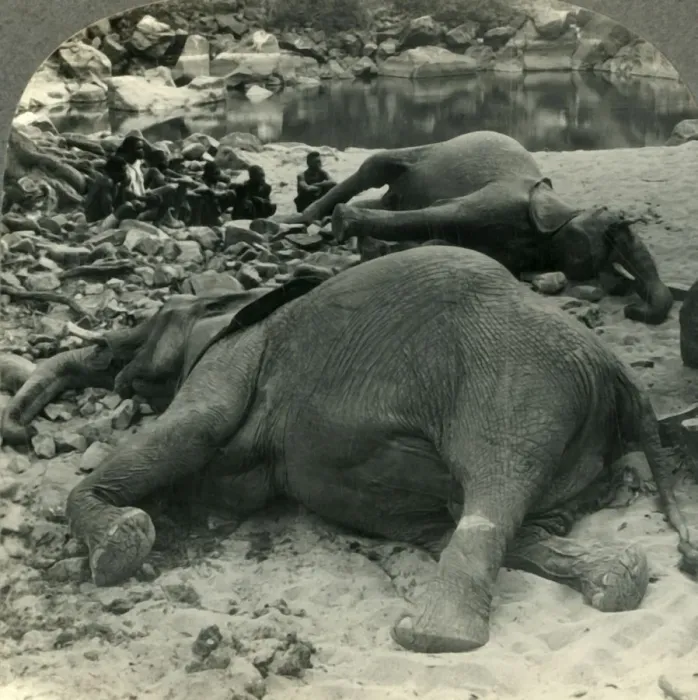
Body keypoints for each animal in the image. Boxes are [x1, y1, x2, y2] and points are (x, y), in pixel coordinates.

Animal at [1, 246, 696, 655]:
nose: (20, 424)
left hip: (516, 381)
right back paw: (618, 578)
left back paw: (431, 635)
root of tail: (619, 372)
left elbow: (193, 431)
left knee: (492, 488)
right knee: (470, 518)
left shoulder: (237, 354)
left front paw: (122, 544)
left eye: (156, 320)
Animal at [277, 130, 673, 326]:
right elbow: (441, 213)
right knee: (376, 167)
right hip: (424, 152)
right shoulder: (501, 199)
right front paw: (345, 223)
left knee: (385, 200)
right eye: (610, 225)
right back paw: (299, 220)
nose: (632, 311)